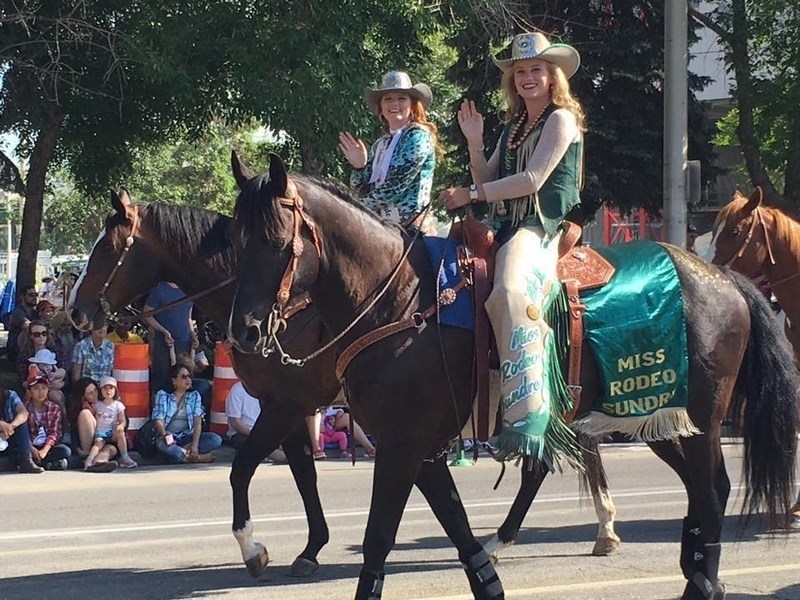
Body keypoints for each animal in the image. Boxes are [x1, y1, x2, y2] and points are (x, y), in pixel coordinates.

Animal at [65, 195, 620, 584]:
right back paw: (593, 530)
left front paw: (255, 549)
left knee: (555, 460)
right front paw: (311, 547)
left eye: (107, 248)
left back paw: (527, 539)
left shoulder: (290, 402)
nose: (75, 312)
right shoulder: (290, 406)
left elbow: (244, 467)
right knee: (561, 458)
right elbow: (303, 473)